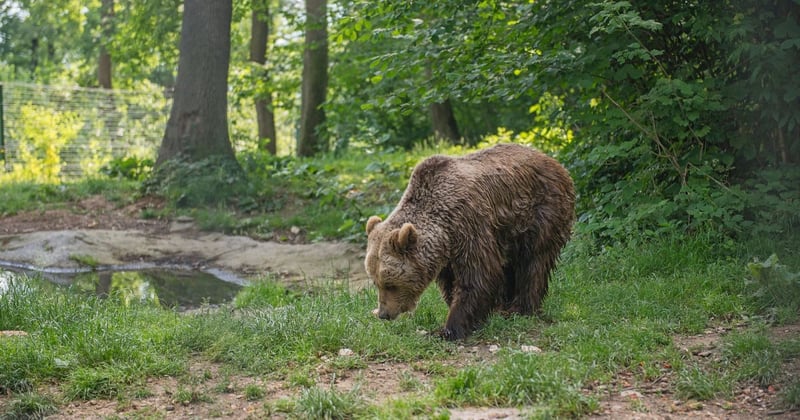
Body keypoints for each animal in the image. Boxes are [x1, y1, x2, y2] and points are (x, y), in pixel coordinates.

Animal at [362, 143, 576, 340]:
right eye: (376, 282)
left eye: (390, 284)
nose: (384, 314)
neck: (445, 229)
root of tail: (554, 162)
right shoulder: (446, 254)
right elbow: (452, 283)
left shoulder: (469, 223)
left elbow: (478, 276)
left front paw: (449, 329)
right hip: (508, 232)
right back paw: (503, 307)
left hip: (541, 212)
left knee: (533, 262)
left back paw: (521, 308)